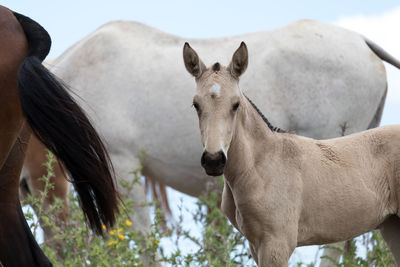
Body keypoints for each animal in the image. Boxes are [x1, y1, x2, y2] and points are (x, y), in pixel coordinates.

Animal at [185, 42, 400, 267]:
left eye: (236, 104)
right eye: (196, 105)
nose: (213, 160)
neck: (260, 165)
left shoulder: (277, 244)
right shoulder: (255, 245)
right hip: (392, 226)